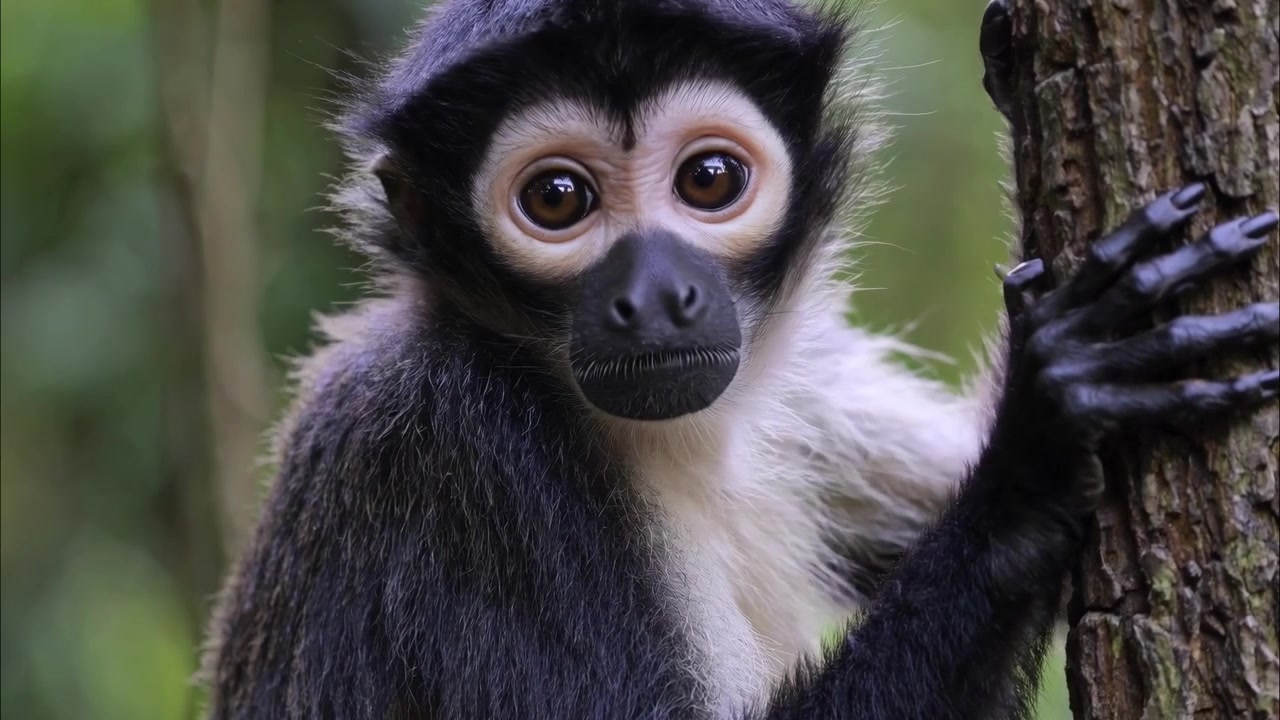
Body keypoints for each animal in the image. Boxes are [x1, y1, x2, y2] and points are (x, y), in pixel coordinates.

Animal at [200, 1, 1280, 718]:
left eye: (709, 179)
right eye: (556, 199)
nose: (654, 297)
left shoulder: (791, 391)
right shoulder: (447, 446)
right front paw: (1036, 445)